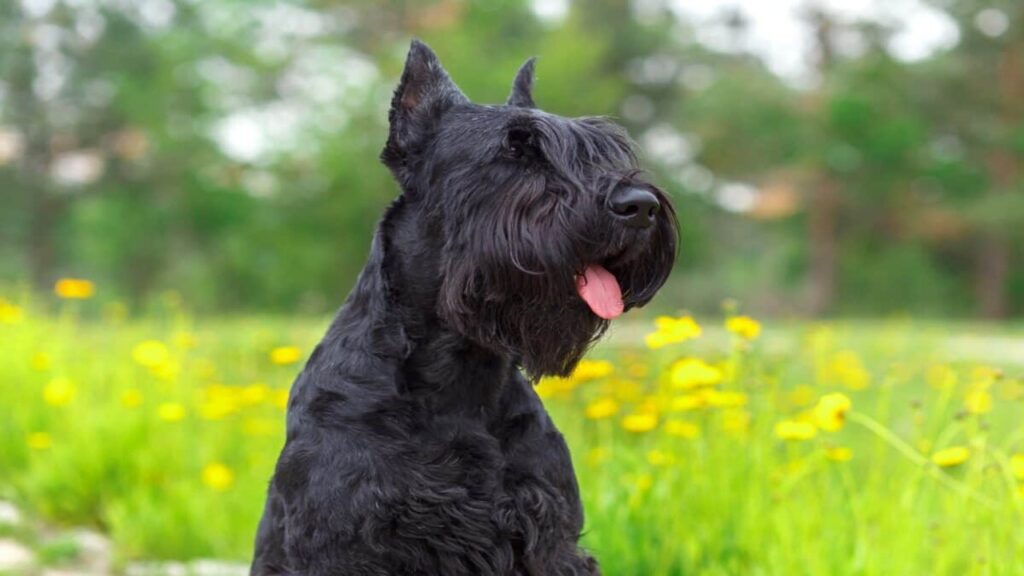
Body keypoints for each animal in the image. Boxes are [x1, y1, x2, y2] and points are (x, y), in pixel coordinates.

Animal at [250, 41, 675, 573]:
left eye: (608, 149)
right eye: (515, 149)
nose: (641, 206)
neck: (459, 379)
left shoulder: (550, 539)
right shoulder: (341, 542)